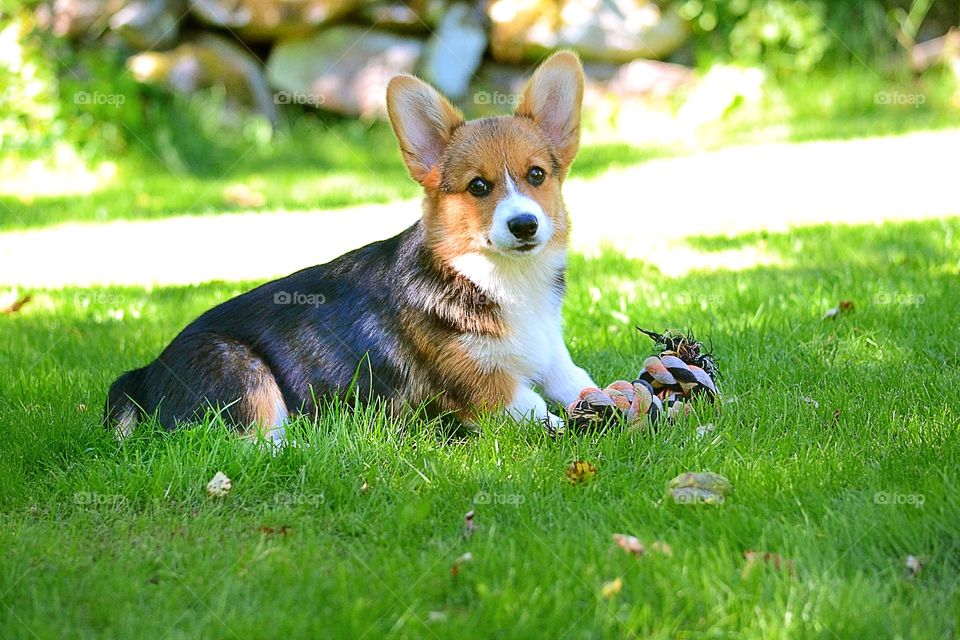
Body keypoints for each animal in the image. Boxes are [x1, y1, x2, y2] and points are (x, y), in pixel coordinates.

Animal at [109, 50, 596, 442]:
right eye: (478, 186)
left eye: (536, 175)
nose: (524, 225)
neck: (500, 278)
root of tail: (143, 375)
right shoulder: (488, 388)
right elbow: (540, 409)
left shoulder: (555, 359)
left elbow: (582, 384)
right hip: (245, 376)